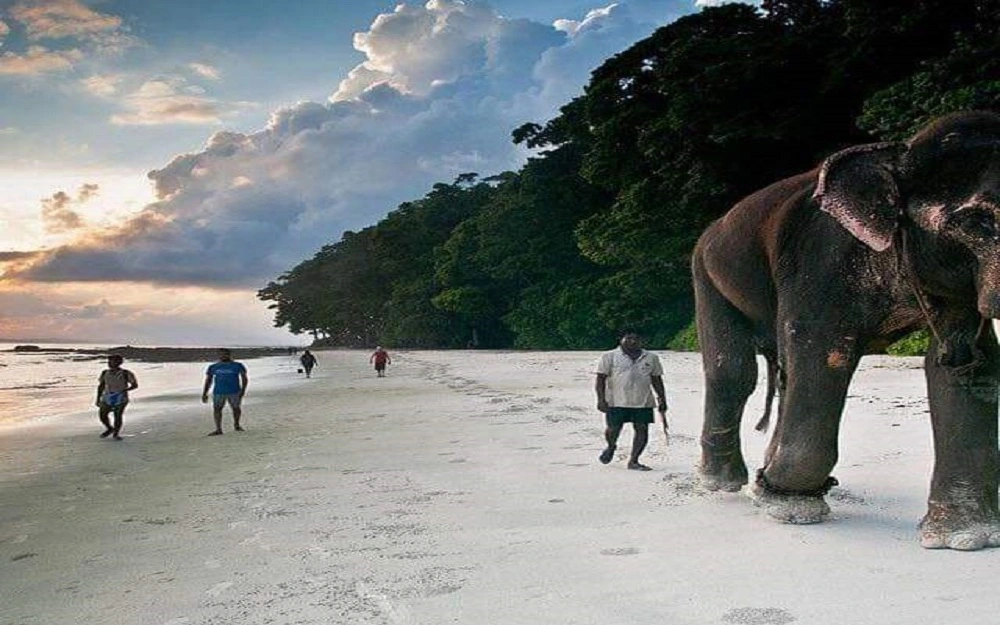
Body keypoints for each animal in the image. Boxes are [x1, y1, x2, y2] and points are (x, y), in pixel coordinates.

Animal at [691, 110, 1000, 550]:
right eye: (978, 222)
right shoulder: (821, 260)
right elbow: (823, 353)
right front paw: (790, 507)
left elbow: (966, 367)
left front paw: (966, 538)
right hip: (707, 272)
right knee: (733, 372)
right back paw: (722, 484)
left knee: (782, 376)